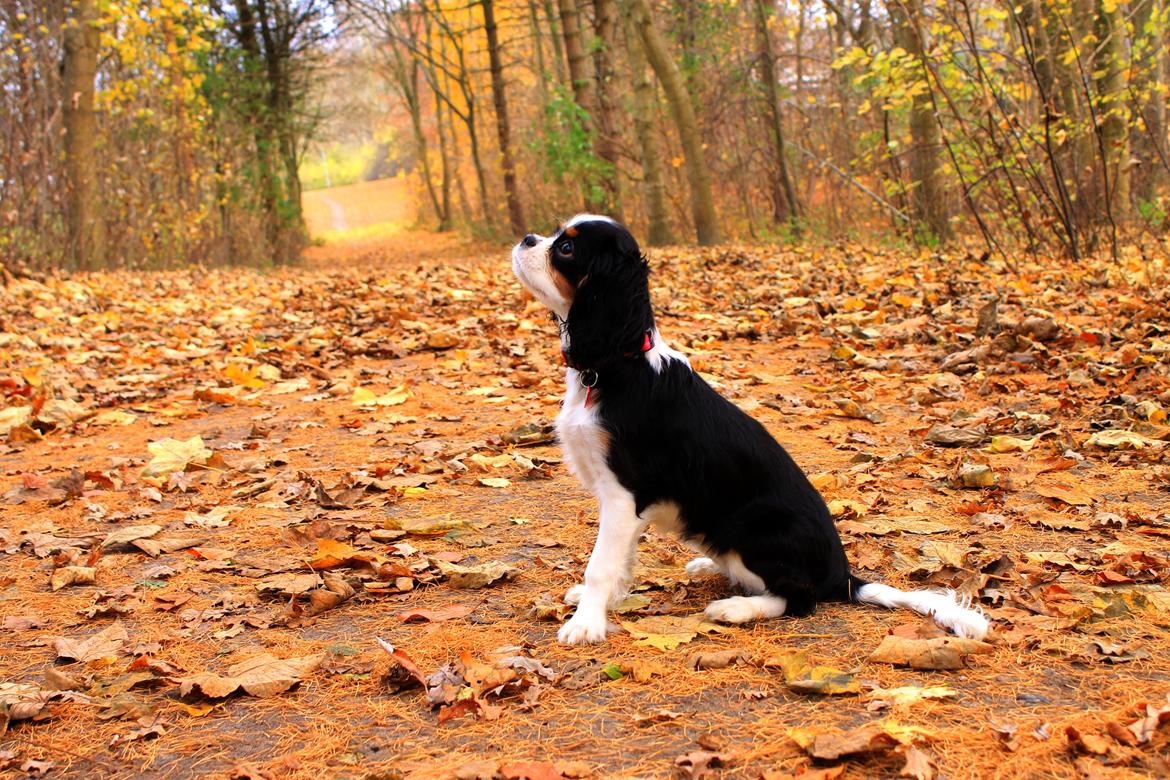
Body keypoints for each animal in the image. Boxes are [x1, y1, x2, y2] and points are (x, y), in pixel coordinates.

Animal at [512, 215, 987, 645]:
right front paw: (606, 604)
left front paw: (585, 625)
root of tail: (843, 577)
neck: (617, 365)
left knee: (800, 599)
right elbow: (621, 560)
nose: (527, 237)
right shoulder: (624, 504)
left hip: (752, 527)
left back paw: (735, 608)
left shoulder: (623, 491)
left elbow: (601, 565)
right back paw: (710, 566)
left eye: (566, 248)